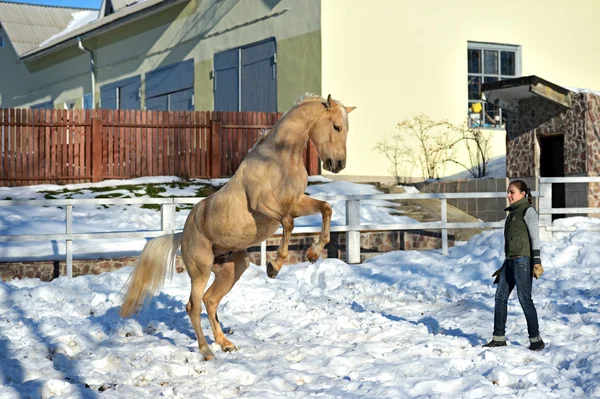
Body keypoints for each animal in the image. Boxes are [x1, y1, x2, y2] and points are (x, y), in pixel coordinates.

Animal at [121, 95, 356, 360]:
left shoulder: (296, 203)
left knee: (210, 300)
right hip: (200, 271)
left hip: (232, 269)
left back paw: (225, 344)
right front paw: (274, 267)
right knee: (193, 306)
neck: (280, 160)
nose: (338, 164)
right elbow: (288, 223)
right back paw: (206, 351)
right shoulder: (264, 205)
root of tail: (182, 235)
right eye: (336, 127)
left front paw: (314, 253)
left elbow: (325, 209)